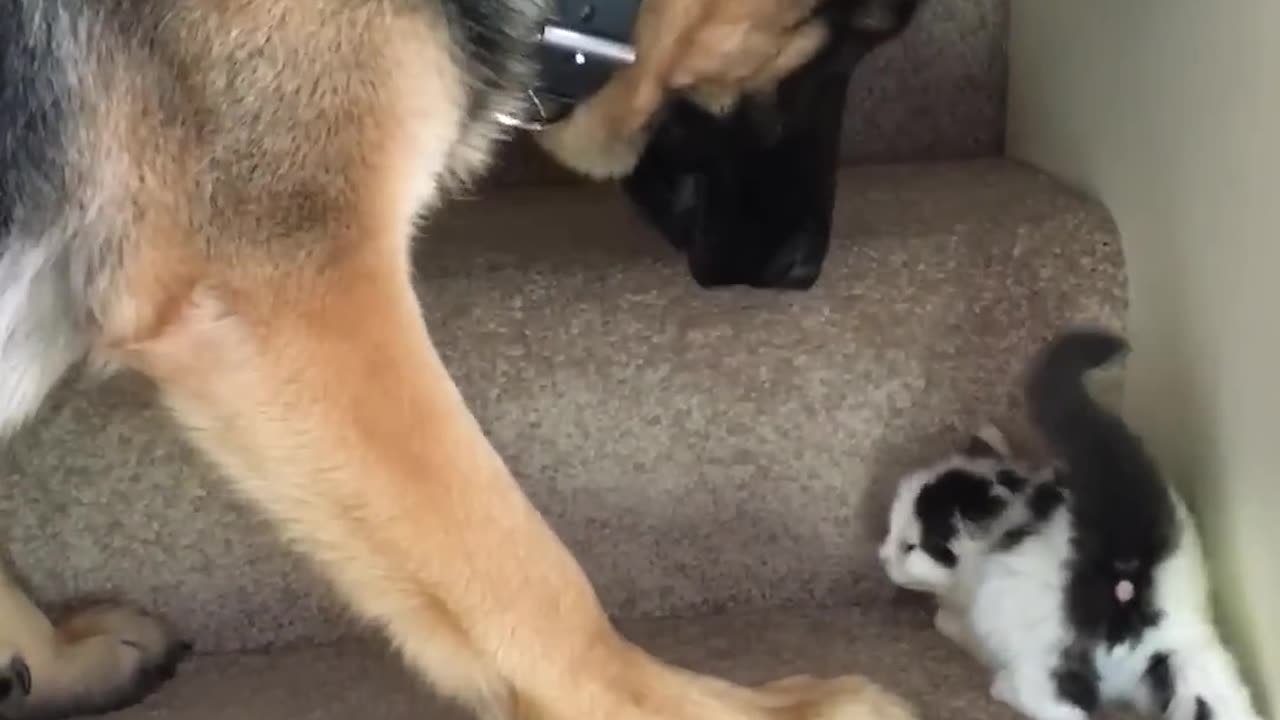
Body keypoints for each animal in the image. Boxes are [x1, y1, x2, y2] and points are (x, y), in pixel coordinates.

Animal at [880, 327, 1259, 717]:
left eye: (909, 546)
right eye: (890, 530)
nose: (883, 557)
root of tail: (1128, 574)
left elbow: (965, 629)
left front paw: (947, 620)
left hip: (1035, 640)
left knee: (1067, 706)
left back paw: (1005, 688)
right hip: (1196, 650)